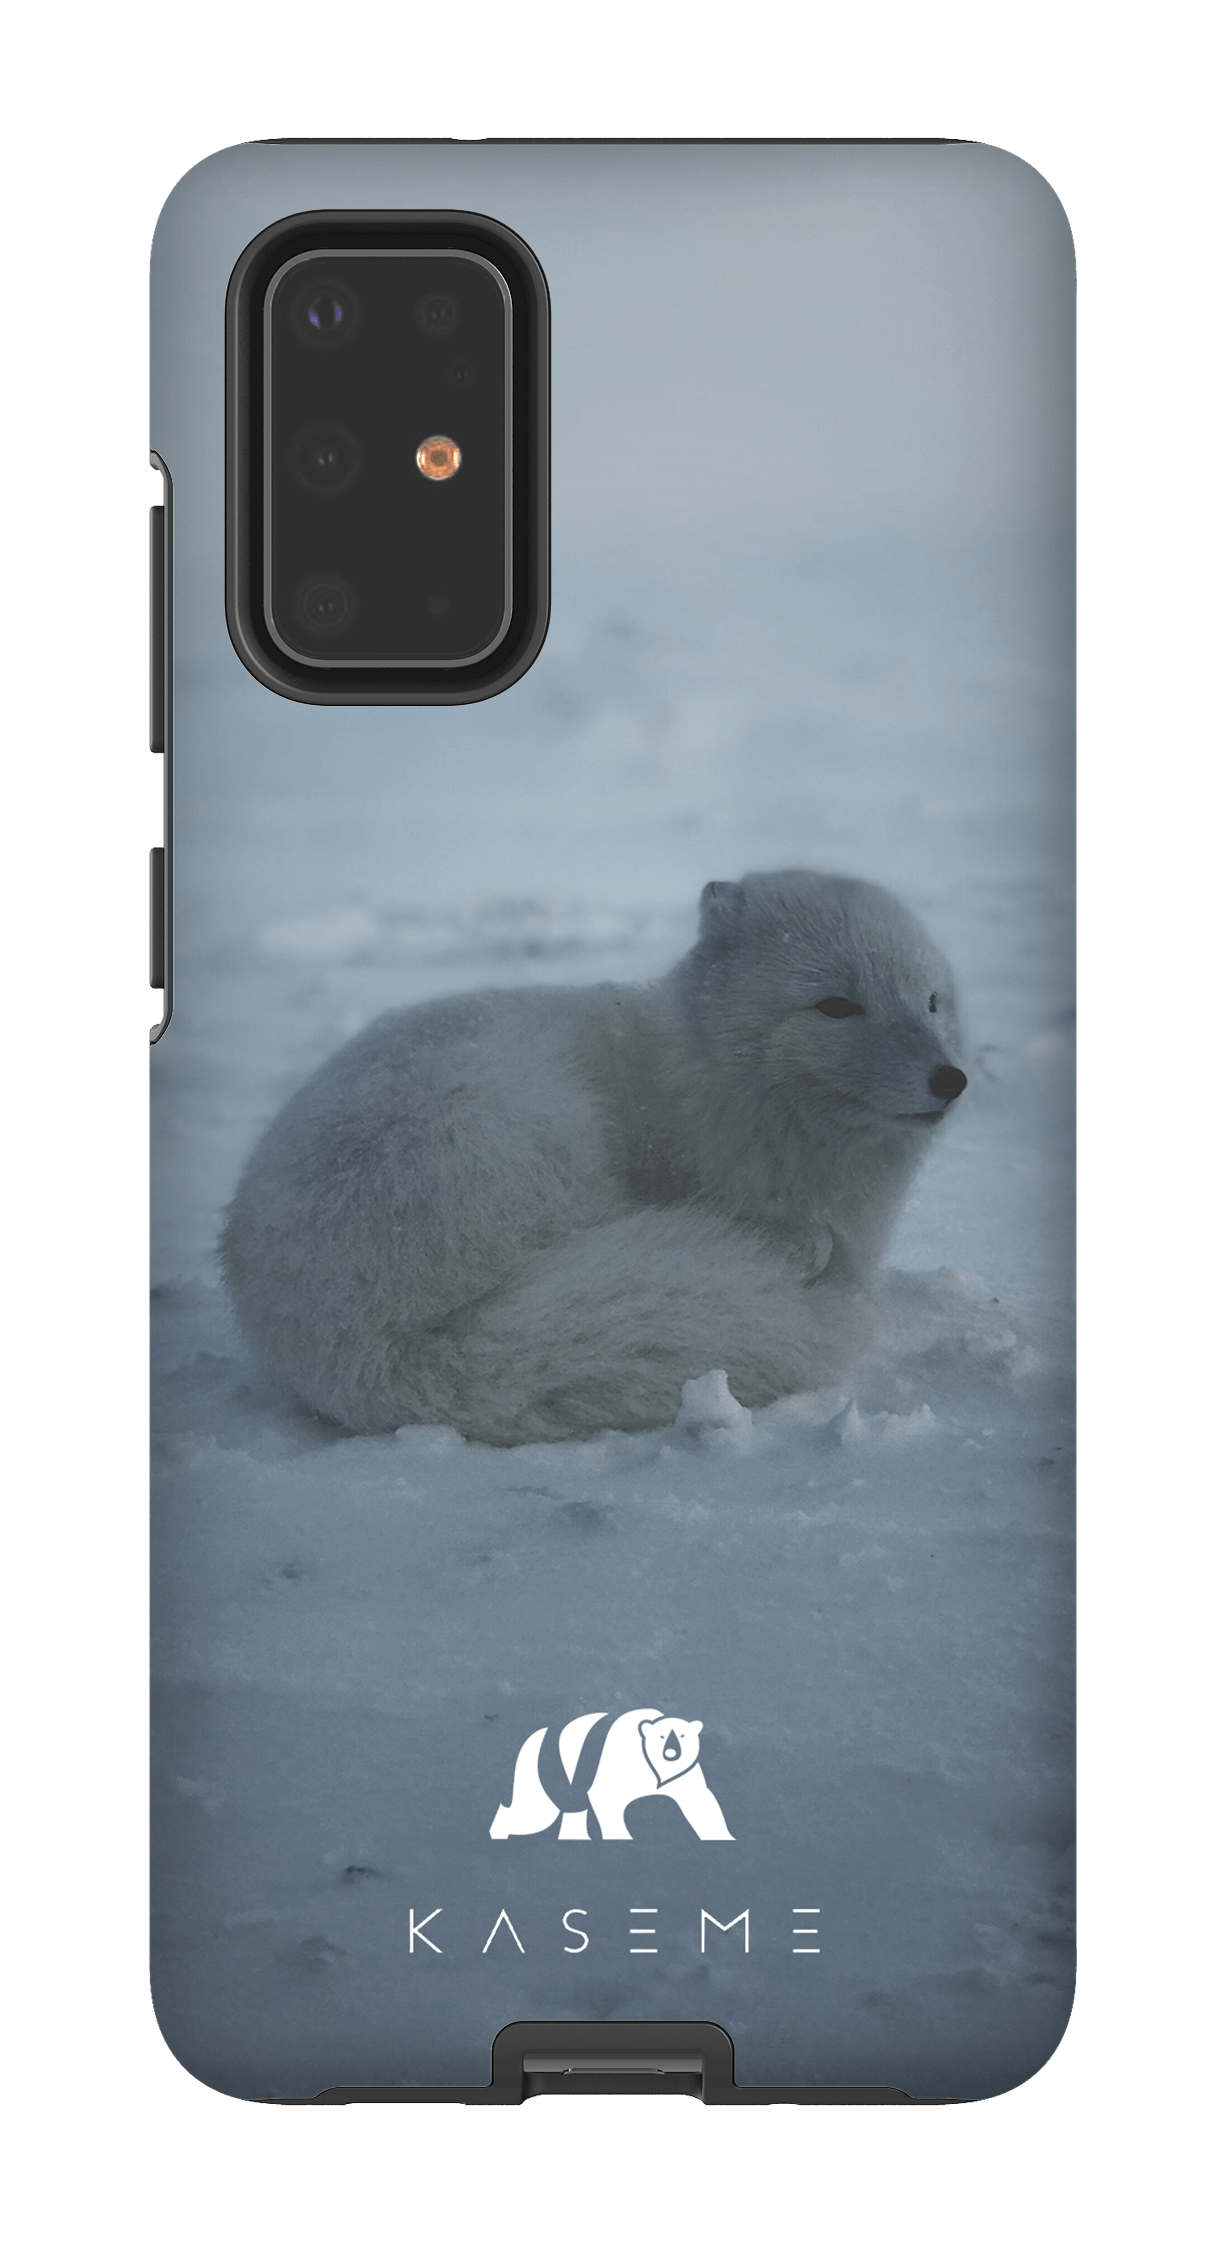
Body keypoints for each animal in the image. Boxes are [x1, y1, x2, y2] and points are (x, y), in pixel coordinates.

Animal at [222, 871, 967, 1443]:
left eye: (931, 1001)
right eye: (836, 1005)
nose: (951, 1079)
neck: (705, 1081)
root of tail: (373, 1347)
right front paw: (799, 1247)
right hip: (522, 1130)